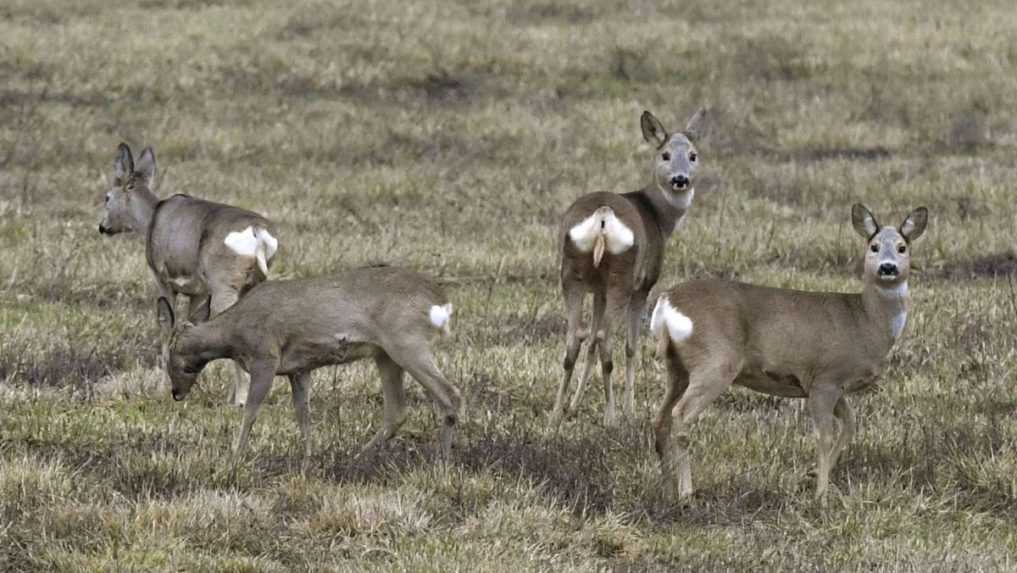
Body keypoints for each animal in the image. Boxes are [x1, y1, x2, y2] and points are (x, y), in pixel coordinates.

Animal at [98, 142, 278, 407]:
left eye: (107, 197)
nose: (103, 227)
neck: (152, 218)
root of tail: (258, 232)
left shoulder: (162, 278)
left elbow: (166, 325)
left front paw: (162, 388)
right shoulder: (199, 291)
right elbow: (192, 326)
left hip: (225, 285)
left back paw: (238, 401)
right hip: (251, 284)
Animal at [156, 266, 463, 464]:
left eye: (169, 357)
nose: (175, 393)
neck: (233, 334)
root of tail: (442, 302)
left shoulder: (266, 358)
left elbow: (251, 412)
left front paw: (233, 460)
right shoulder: (299, 369)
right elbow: (304, 416)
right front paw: (307, 462)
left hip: (407, 342)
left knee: (451, 395)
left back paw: (443, 464)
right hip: (385, 354)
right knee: (397, 411)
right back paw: (353, 459)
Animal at [549, 107, 707, 425]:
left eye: (693, 155)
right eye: (665, 155)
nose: (680, 179)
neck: (659, 217)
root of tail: (603, 215)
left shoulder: (597, 289)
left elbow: (591, 343)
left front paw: (574, 405)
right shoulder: (644, 285)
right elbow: (631, 347)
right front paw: (630, 409)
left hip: (573, 273)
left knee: (575, 340)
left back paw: (555, 414)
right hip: (623, 274)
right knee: (608, 342)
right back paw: (612, 418)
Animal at [650, 203, 931, 500]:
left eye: (902, 247)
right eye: (874, 246)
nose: (887, 267)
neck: (865, 320)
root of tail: (666, 302)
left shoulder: (831, 385)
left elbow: (850, 425)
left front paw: (811, 478)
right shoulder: (825, 378)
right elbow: (824, 435)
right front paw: (820, 495)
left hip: (677, 366)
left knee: (661, 418)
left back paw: (666, 488)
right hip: (715, 361)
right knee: (680, 415)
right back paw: (686, 492)